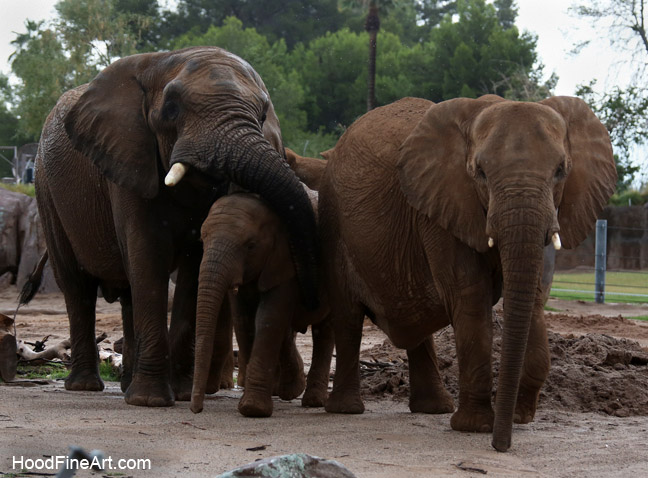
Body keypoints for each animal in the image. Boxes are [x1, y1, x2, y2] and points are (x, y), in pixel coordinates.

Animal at [34, 46, 319, 407]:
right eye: (171, 109)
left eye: (264, 112)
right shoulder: (129, 156)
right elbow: (148, 254)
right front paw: (151, 401)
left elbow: (192, 266)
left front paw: (179, 394)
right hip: (46, 190)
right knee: (76, 285)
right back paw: (85, 387)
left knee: (128, 292)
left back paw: (126, 385)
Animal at [190, 189, 332, 417]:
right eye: (202, 240)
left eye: (250, 245)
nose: (196, 409)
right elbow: (244, 320)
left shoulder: (285, 259)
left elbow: (269, 317)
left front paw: (252, 409)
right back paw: (286, 390)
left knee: (325, 330)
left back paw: (313, 400)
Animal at [318, 95, 616, 451]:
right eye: (480, 172)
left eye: (561, 171)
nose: (501, 446)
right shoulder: (442, 208)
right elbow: (470, 298)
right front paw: (476, 428)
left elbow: (533, 296)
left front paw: (518, 416)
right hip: (333, 224)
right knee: (348, 316)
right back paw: (347, 410)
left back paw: (434, 409)